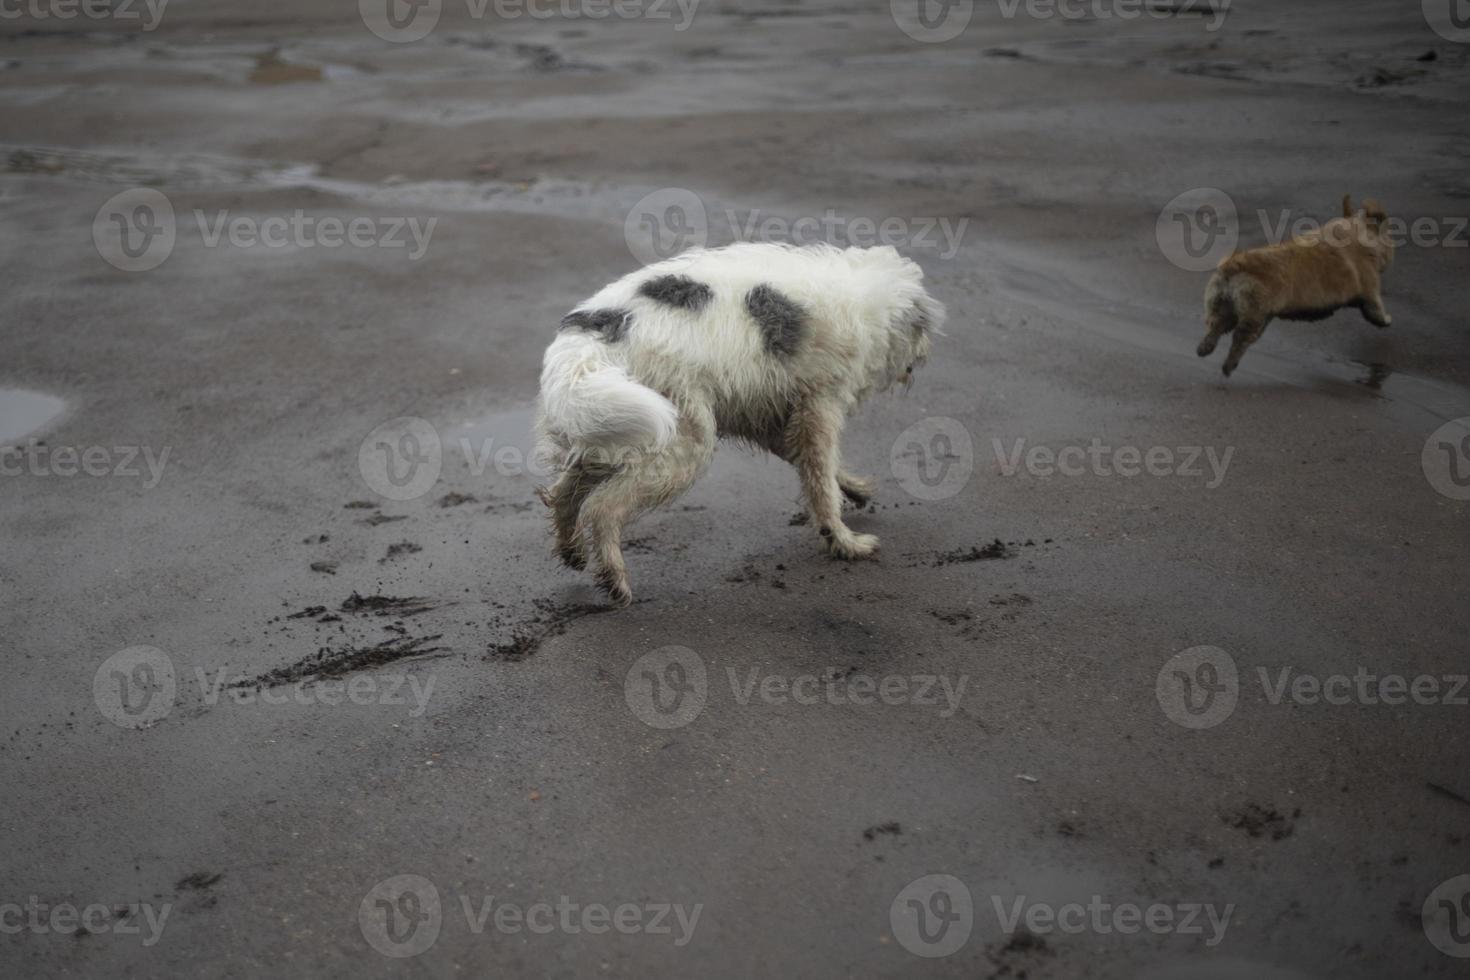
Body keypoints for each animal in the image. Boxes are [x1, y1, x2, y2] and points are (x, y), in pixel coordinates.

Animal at [538, 240, 940, 602]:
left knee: (563, 492)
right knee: (603, 507)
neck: (865, 297)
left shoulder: (769, 415)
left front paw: (855, 489)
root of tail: (599, 335)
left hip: (611, 423)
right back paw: (613, 576)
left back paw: (573, 550)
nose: (923, 356)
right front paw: (844, 541)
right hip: (680, 440)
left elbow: (814, 466)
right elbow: (821, 479)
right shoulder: (819, 406)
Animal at [1199, 195, 1393, 376]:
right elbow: (1375, 308)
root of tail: (1235, 266)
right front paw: (1386, 320)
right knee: (1240, 336)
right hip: (1254, 312)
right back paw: (1229, 365)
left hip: (1221, 301)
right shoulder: (1369, 285)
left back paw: (1204, 348)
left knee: (1216, 324)